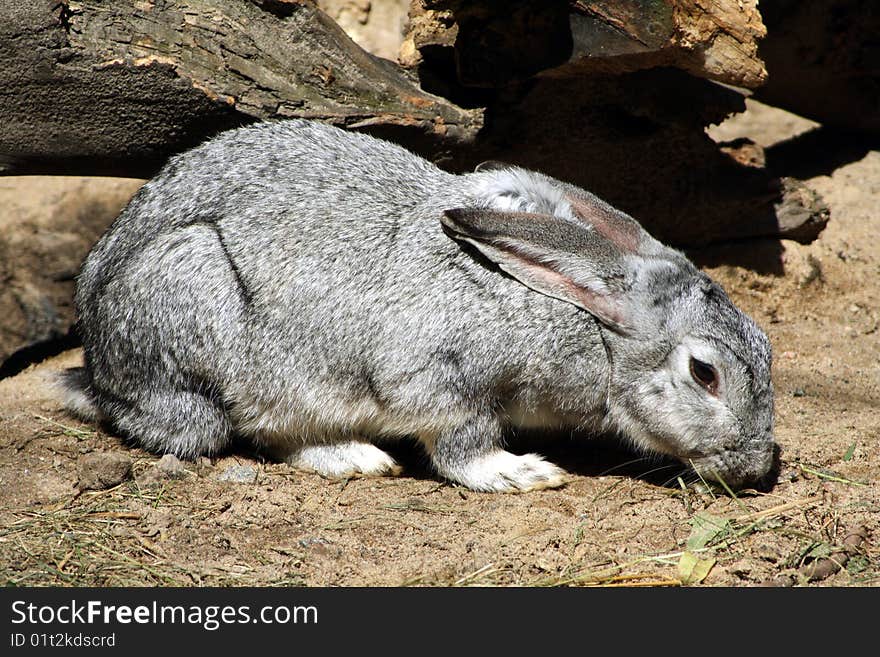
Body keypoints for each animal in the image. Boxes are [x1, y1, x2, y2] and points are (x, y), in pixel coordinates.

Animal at [60, 118, 776, 490]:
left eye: (766, 345)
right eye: (704, 374)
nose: (757, 468)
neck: (589, 322)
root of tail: (96, 361)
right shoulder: (443, 379)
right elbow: (460, 444)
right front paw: (522, 473)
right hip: (210, 331)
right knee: (247, 429)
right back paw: (356, 458)